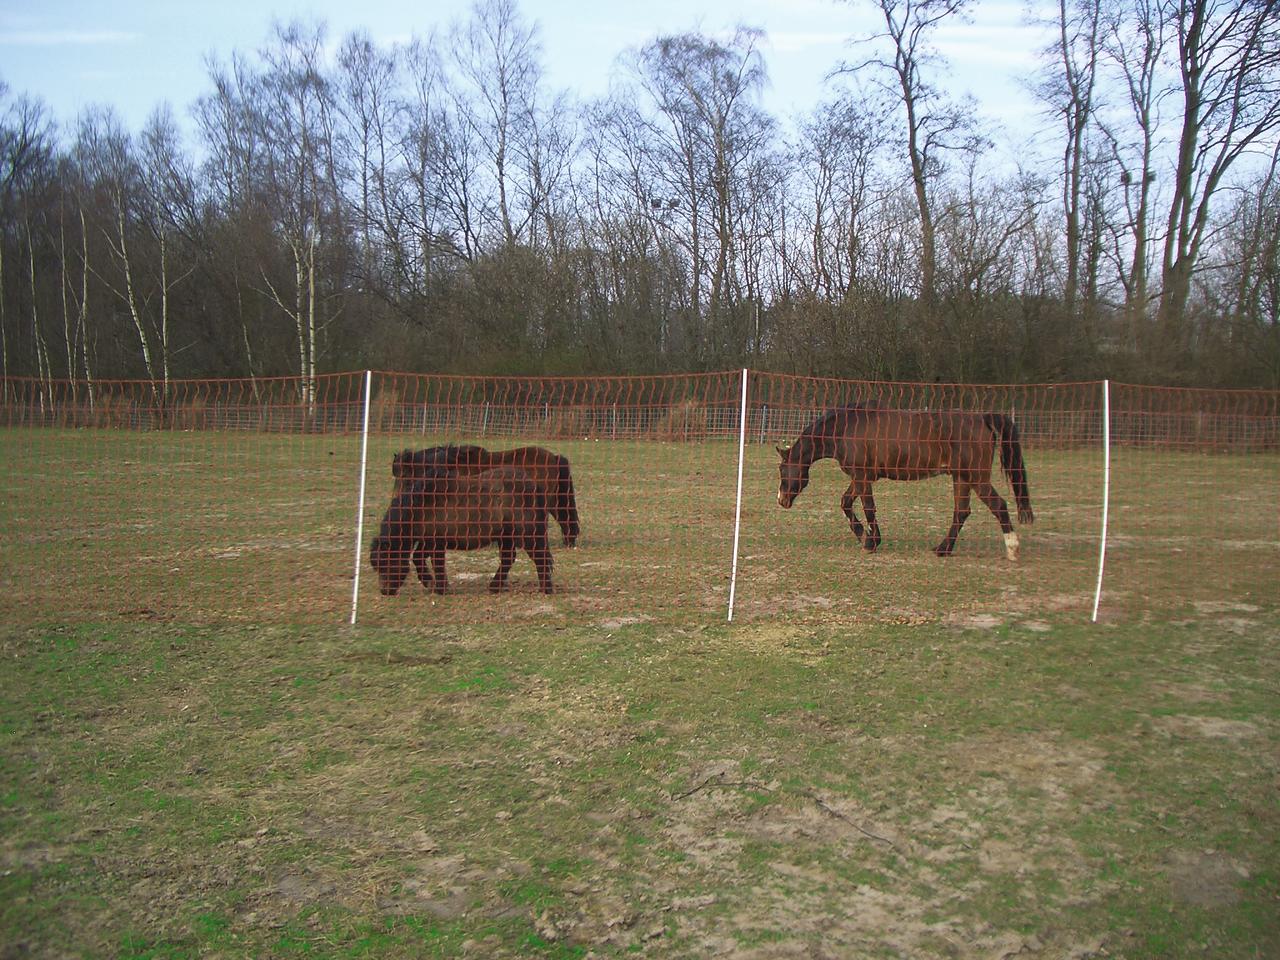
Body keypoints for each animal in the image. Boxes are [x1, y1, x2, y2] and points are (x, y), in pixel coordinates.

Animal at [368, 465, 552, 593]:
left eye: (386, 561)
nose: (384, 591)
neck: (421, 505)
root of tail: (533, 485)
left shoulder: (436, 544)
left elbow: (437, 563)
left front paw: (440, 587)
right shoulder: (427, 541)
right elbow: (418, 559)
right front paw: (432, 584)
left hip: (527, 535)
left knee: (540, 558)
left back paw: (546, 589)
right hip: (505, 537)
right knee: (508, 559)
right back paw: (494, 586)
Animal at [773, 407, 1034, 563]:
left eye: (782, 469)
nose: (781, 500)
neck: (846, 429)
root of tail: (981, 418)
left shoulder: (862, 477)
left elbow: (863, 507)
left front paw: (870, 541)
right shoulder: (861, 478)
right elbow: (851, 504)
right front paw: (868, 538)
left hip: (976, 478)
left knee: (998, 506)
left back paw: (1012, 549)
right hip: (961, 478)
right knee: (961, 512)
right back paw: (943, 549)